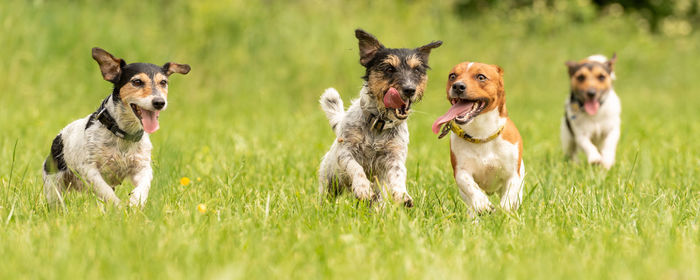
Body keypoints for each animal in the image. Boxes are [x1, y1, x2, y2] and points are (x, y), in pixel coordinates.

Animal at [43, 47, 191, 207]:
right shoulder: (89, 169)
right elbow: (106, 191)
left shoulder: (142, 167)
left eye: (163, 82)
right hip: (53, 183)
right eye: (137, 82)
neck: (124, 134)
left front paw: (135, 201)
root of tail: (59, 135)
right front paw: (118, 207)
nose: (159, 102)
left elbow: (144, 185)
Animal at [318, 29, 440, 207]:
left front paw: (402, 195)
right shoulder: (346, 151)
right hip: (330, 182)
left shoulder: (395, 156)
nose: (410, 89)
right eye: (389, 68)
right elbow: (355, 167)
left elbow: (398, 174)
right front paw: (362, 188)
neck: (378, 125)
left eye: (417, 70)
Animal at [432, 61, 524, 214]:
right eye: (452, 76)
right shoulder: (461, 171)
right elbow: (471, 187)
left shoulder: (513, 174)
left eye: (481, 77)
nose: (457, 86)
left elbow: (508, 197)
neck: (482, 135)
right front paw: (482, 203)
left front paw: (504, 210)